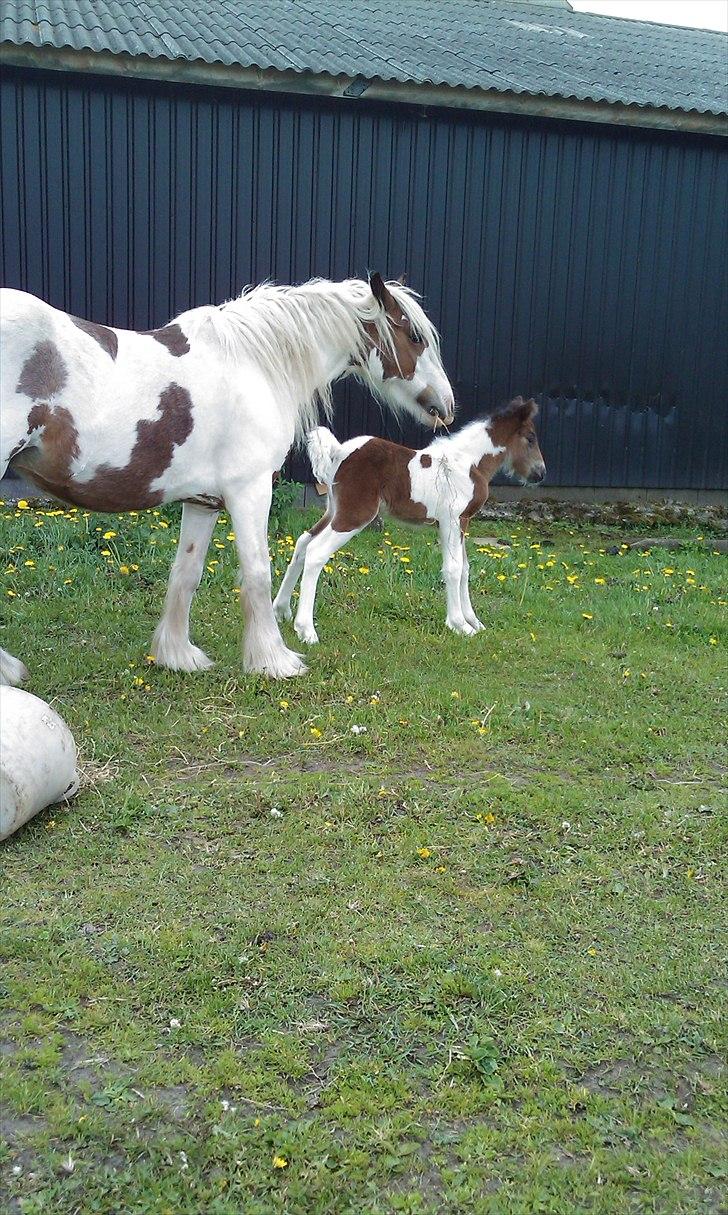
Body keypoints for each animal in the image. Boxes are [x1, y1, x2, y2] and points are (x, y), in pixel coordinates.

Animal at [1, 274, 456, 685]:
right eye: (415, 336)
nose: (447, 406)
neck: (254, 366)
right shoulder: (249, 490)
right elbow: (257, 571)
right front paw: (274, 661)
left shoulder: (202, 502)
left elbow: (186, 573)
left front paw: (178, 656)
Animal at [275, 398, 544, 646]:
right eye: (530, 438)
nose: (540, 473)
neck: (468, 463)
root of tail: (339, 451)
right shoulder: (452, 520)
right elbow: (454, 569)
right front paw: (459, 624)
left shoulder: (461, 523)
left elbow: (465, 569)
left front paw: (473, 621)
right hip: (355, 515)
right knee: (316, 552)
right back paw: (306, 630)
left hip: (334, 511)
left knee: (302, 543)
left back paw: (281, 609)